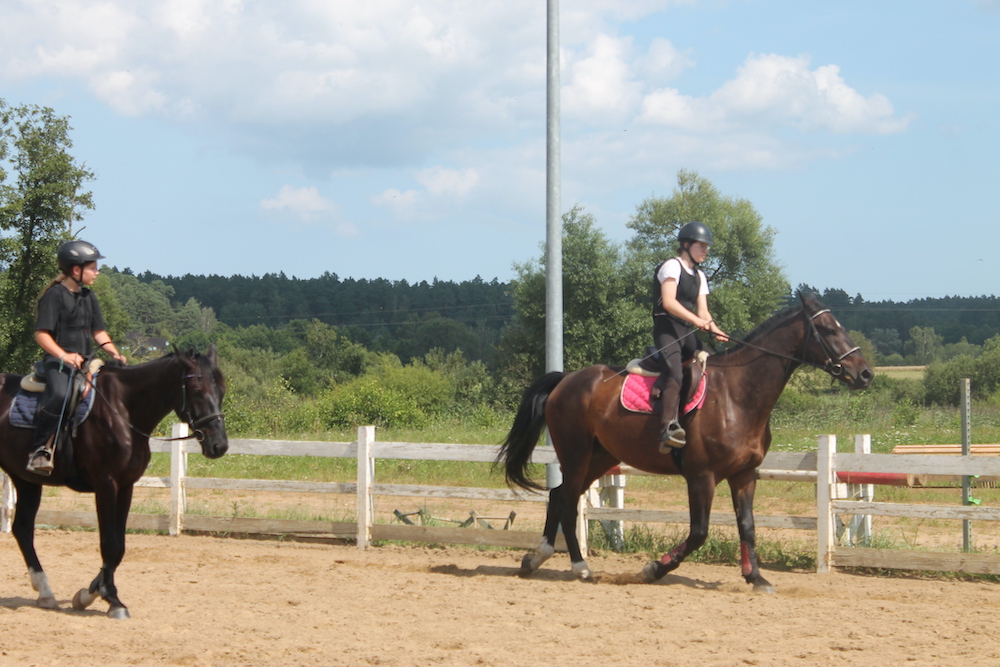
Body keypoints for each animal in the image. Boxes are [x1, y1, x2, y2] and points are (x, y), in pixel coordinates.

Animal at [0, 345, 228, 619]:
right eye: (197, 391)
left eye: (221, 391)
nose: (219, 445)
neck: (124, 410)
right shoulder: (106, 485)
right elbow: (109, 543)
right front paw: (113, 601)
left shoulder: (126, 486)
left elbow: (119, 547)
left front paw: (89, 593)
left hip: (26, 480)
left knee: (23, 529)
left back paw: (45, 593)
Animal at [496, 293, 873, 592]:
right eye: (828, 329)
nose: (865, 373)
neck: (738, 395)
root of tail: (566, 380)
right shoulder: (701, 477)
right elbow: (699, 533)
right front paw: (653, 568)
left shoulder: (744, 476)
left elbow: (748, 526)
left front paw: (755, 577)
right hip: (576, 454)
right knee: (567, 499)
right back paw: (577, 565)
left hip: (600, 457)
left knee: (560, 496)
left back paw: (537, 559)